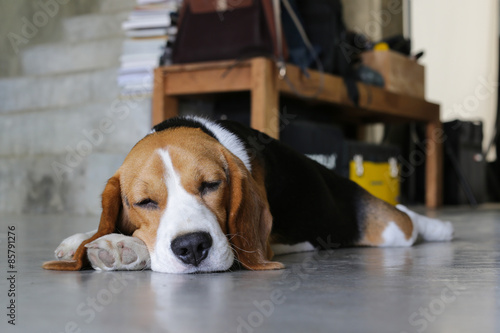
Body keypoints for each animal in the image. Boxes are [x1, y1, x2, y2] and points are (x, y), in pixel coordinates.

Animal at [43, 116, 454, 272]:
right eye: (144, 202)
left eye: (211, 184)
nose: (192, 247)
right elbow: (100, 227)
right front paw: (88, 240)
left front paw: (124, 246)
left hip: (388, 230)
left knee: (407, 219)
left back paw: (440, 228)